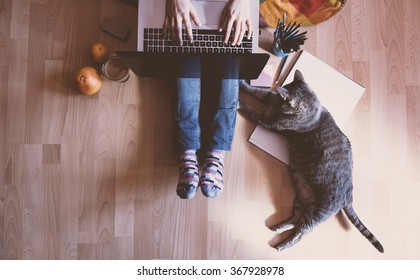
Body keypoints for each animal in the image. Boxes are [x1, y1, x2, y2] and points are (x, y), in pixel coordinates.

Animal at [238, 69, 382, 252]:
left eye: (283, 100)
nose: (278, 99)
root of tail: (348, 195)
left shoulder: (270, 122)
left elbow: (252, 112)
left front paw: (239, 103)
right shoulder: (270, 97)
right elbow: (258, 91)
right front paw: (242, 84)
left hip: (318, 213)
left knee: (302, 232)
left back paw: (283, 245)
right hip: (303, 199)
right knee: (296, 220)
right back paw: (279, 227)